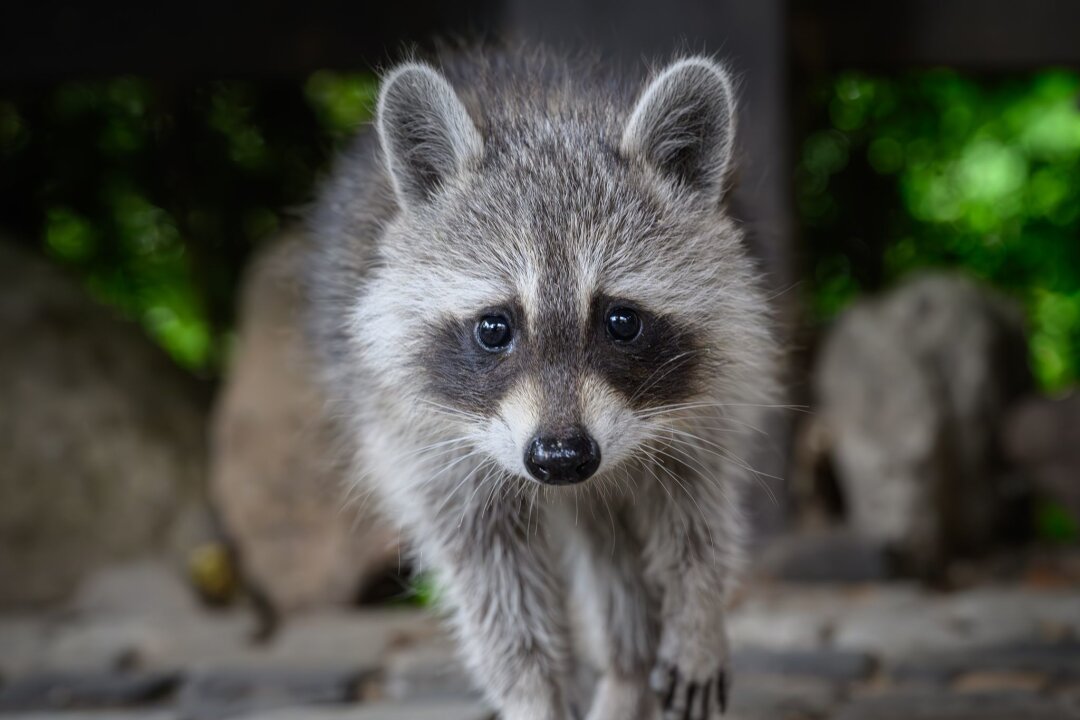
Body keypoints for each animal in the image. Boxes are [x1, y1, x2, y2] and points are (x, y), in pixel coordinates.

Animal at [308, 47, 781, 716]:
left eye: (621, 321)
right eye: (494, 327)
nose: (560, 457)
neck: (548, 120)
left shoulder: (712, 396)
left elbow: (696, 513)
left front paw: (698, 612)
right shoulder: (424, 445)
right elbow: (493, 587)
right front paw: (533, 693)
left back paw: (628, 667)